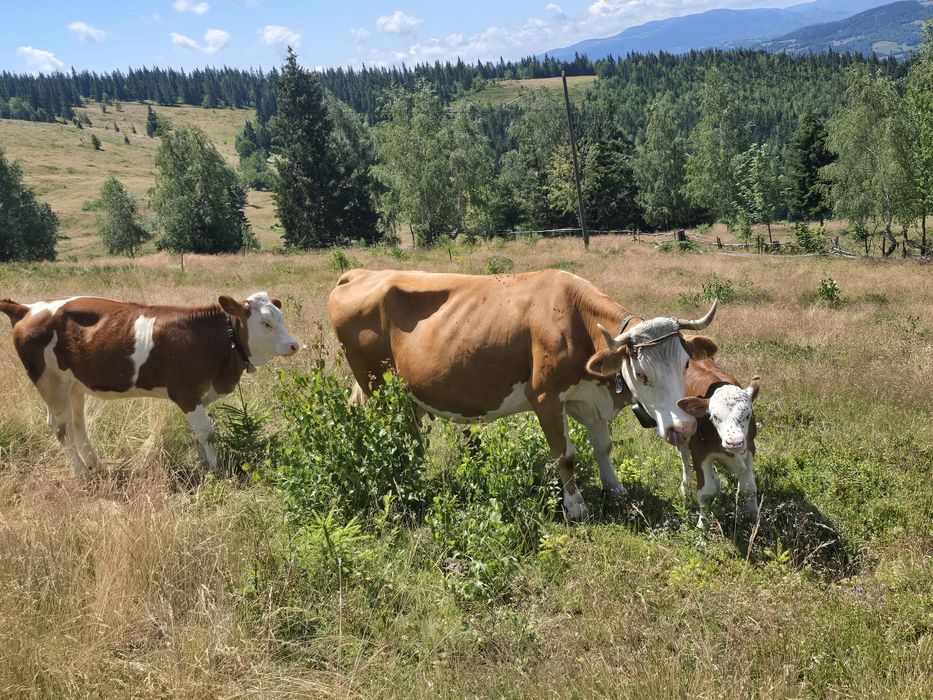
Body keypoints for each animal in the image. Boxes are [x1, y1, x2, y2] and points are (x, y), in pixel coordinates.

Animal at [0, 293, 300, 479]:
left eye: (280, 318)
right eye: (266, 323)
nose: (294, 345)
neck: (211, 339)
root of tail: (28, 308)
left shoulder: (199, 396)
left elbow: (197, 435)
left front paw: (203, 464)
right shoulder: (187, 393)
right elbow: (206, 434)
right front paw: (215, 469)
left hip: (74, 384)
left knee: (77, 423)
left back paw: (95, 464)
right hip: (52, 382)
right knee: (61, 427)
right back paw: (82, 473)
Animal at [327, 268, 719, 520]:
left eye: (685, 364)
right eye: (641, 373)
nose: (684, 428)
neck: (575, 317)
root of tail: (358, 273)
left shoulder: (590, 397)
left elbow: (603, 447)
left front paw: (615, 489)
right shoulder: (544, 397)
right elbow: (566, 455)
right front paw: (575, 506)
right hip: (377, 388)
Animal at [676, 358, 762, 528]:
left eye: (748, 415)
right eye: (714, 416)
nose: (734, 442)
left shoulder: (750, 447)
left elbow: (748, 488)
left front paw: (754, 517)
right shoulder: (699, 451)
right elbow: (705, 491)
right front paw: (702, 525)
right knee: (684, 457)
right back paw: (685, 486)